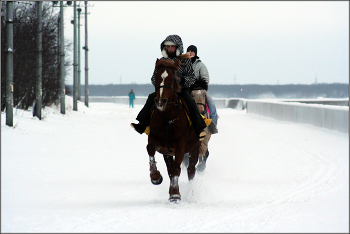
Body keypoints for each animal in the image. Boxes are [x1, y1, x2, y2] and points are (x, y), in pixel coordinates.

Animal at [146, 58, 201, 201]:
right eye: (156, 77)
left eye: (171, 79)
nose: (161, 101)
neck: (167, 115)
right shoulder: (157, 140)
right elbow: (150, 149)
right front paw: (155, 177)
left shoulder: (180, 144)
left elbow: (177, 169)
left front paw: (175, 194)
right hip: (168, 153)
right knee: (170, 170)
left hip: (194, 149)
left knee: (191, 171)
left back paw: (190, 194)